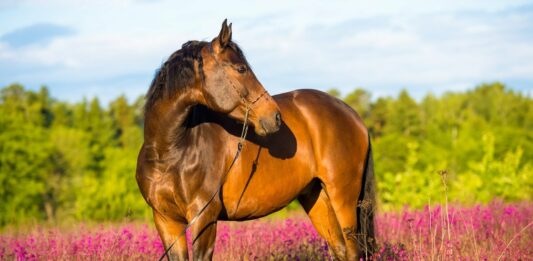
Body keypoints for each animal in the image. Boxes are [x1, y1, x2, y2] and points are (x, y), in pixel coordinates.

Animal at [135, 19, 376, 258]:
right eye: (241, 68)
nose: (275, 116)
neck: (170, 151)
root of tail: (352, 114)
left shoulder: (204, 218)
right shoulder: (166, 221)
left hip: (344, 200)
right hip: (316, 197)